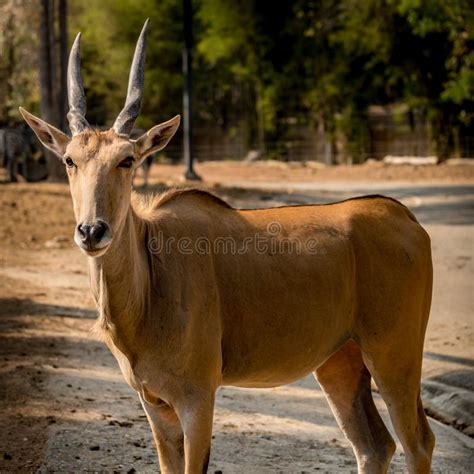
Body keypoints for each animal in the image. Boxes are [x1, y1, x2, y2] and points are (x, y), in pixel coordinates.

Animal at [20, 19, 436, 474]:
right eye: (70, 160)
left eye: (127, 160)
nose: (92, 231)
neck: (152, 278)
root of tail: (404, 217)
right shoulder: (155, 406)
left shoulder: (198, 399)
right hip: (340, 363)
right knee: (374, 445)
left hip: (395, 356)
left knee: (417, 442)